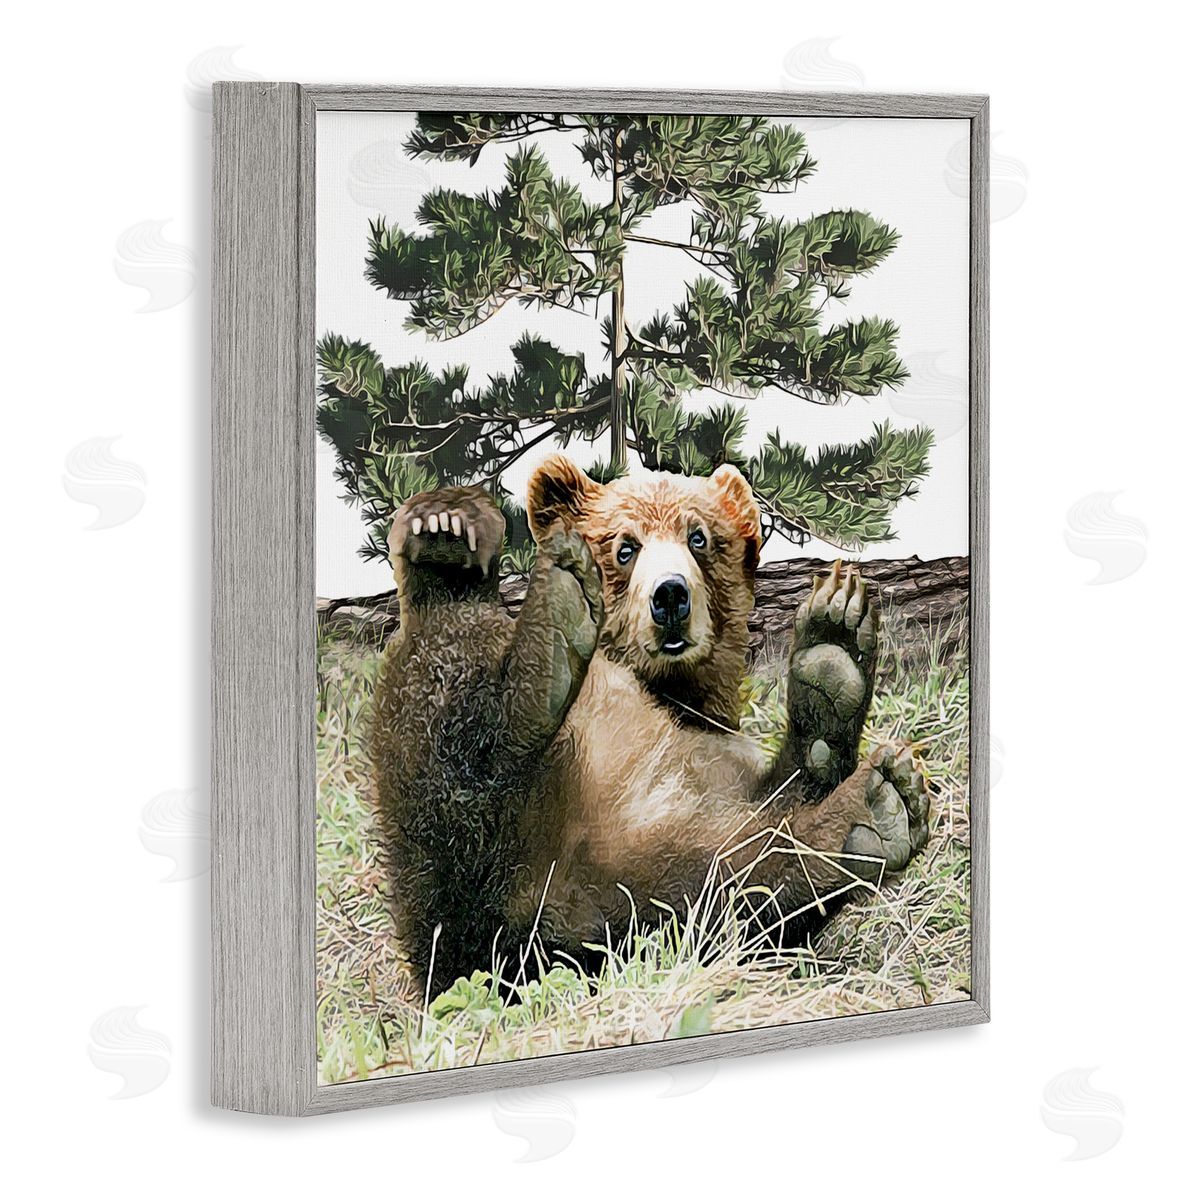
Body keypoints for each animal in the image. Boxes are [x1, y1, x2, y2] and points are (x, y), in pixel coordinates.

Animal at [369, 456, 929, 996]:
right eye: (626, 546)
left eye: (699, 537)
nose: (671, 596)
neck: (667, 691)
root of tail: (535, 895)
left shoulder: (712, 759)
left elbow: (767, 823)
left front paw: (831, 663)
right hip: (469, 882)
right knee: (442, 706)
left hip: (610, 892)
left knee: (719, 881)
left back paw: (870, 805)